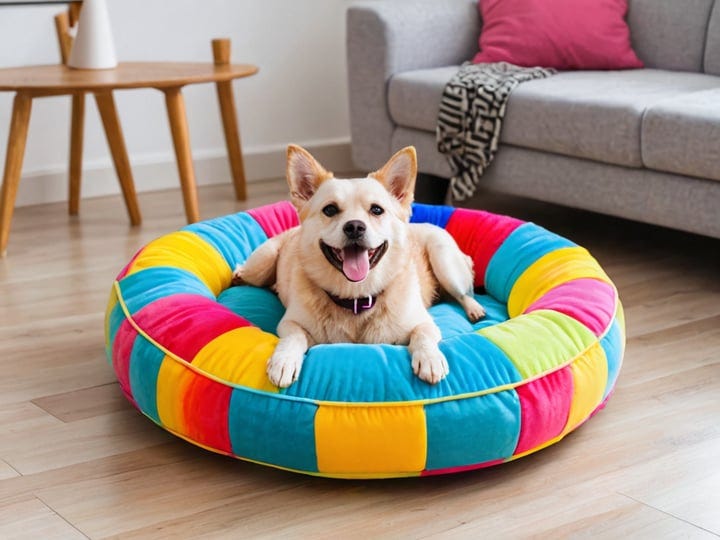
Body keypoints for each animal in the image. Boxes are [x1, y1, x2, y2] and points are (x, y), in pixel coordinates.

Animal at [233, 144, 486, 388]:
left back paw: (475, 309)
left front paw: (430, 358)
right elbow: (294, 337)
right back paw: (241, 275)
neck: (355, 297)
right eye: (330, 210)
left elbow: (422, 335)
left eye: (377, 210)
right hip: (262, 262)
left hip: (443, 260)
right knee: (247, 271)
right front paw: (284, 360)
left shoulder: (425, 324)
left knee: (464, 294)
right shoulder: (289, 323)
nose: (354, 227)